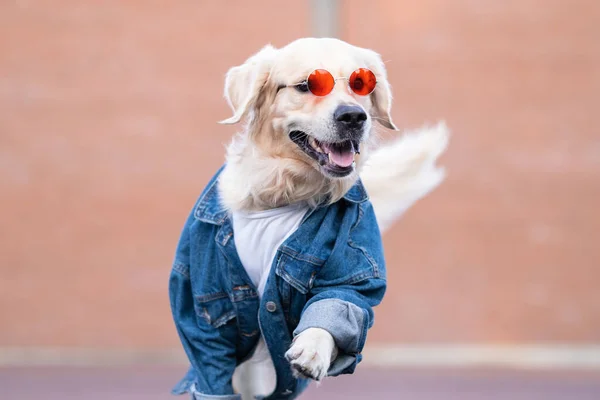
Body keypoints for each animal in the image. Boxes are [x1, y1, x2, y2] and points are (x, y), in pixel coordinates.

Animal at [171, 38, 448, 400]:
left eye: (361, 84)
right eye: (307, 85)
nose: (353, 116)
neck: (286, 192)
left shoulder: (350, 265)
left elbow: (337, 307)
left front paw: (312, 351)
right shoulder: (206, 311)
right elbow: (212, 366)